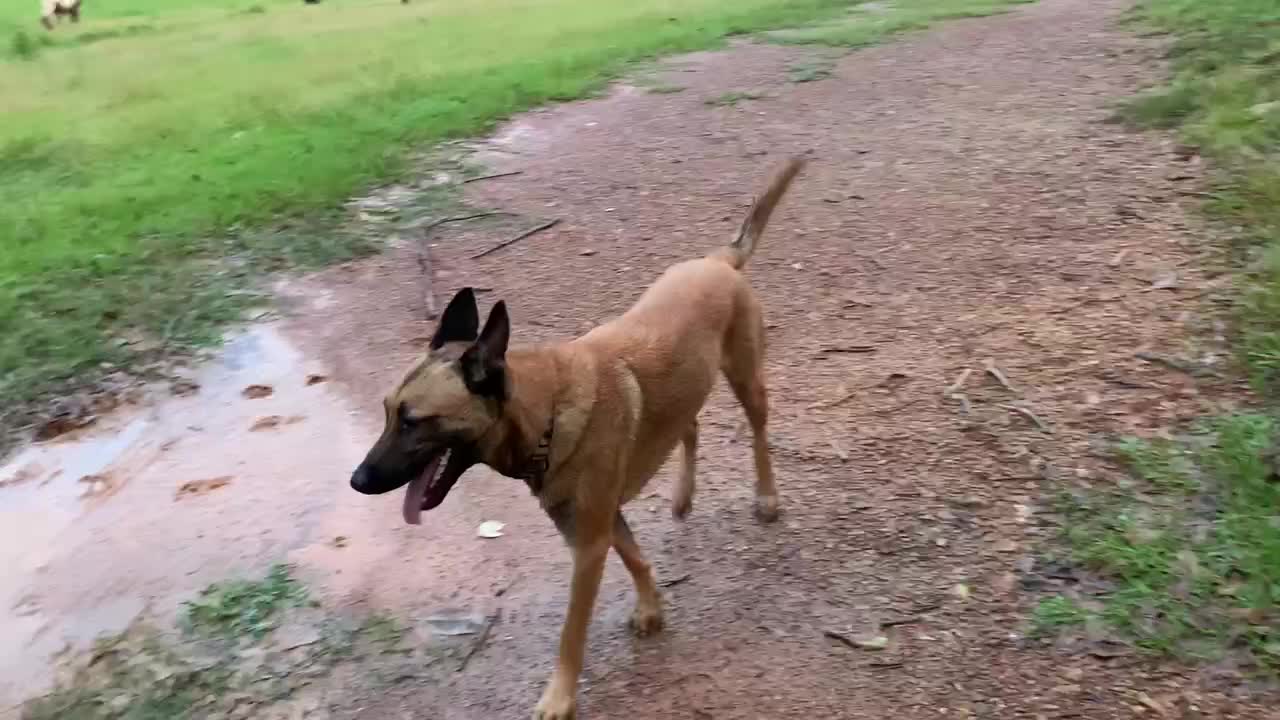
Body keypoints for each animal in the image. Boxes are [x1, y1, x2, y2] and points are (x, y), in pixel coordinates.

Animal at [350, 155, 803, 712]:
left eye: (413, 421)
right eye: (387, 413)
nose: (357, 481)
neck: (545, 411)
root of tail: (716, 260)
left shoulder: (586, 546)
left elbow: (571, 632)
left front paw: (559, 698)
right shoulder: (600, 524)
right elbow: (636, 558)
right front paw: (651, 609)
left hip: (745, 379)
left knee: (759, 432)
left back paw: (766, 495)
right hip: (688, 388)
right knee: (689, 424)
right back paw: (683, 494)